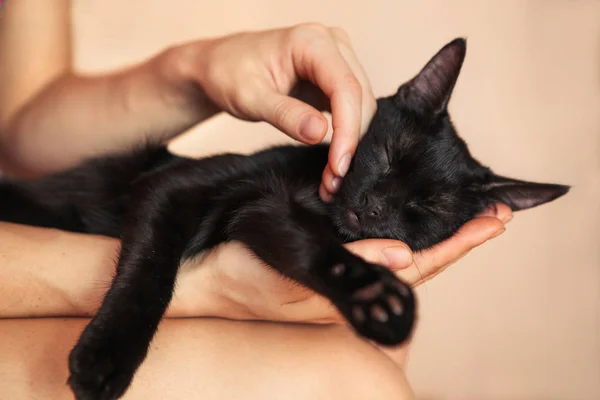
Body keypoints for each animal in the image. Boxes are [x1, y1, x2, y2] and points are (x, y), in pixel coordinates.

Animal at [0, 39, 568, 398]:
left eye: (425, 209)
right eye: (388, 155)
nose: (374, 207)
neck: (315, 198)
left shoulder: (264, 213)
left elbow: (310, 245)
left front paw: (374, 299)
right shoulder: (175, 186)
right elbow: (149, 272)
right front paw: (104, 360)